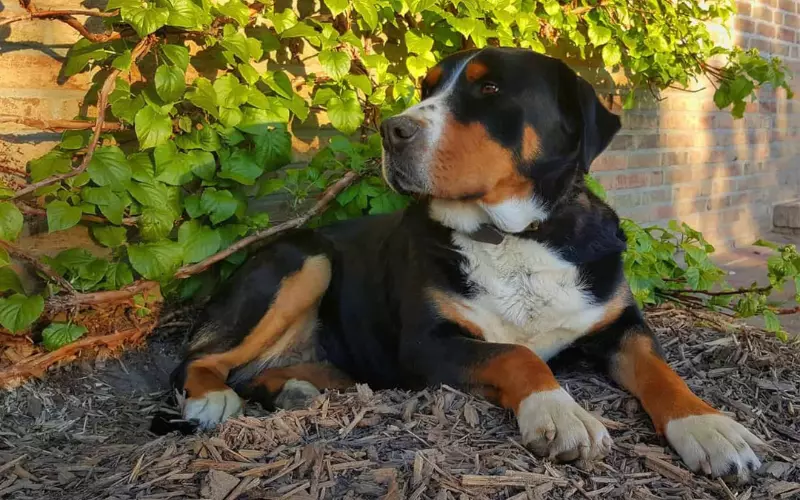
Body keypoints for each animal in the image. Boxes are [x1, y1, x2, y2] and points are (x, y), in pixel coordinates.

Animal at [167, 48, 764, 482]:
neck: (511, 235)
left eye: (490, 89)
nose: (392, 130)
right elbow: (519, 356)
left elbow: (662, 372)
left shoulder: (619, 324)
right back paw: (211, 401)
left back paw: (296, 388)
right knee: (197, 362)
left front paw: (711, 428)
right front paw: (560, 412)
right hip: (305, 260)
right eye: (427, 88)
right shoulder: (428, 342)